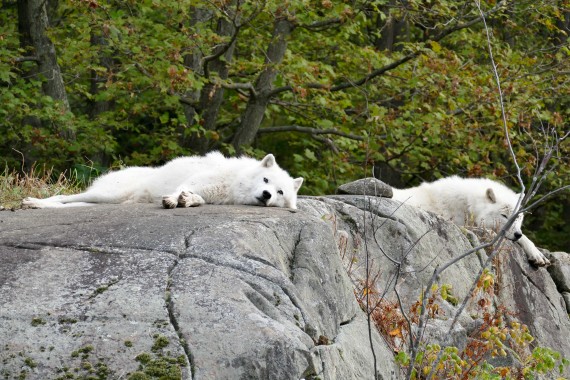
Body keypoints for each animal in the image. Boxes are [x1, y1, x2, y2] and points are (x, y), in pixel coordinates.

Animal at [390, 176, 544, 268]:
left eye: (518, 217)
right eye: (504, 215)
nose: (517, 234)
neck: (468, 204)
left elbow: (525, 238)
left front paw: (537, 255)